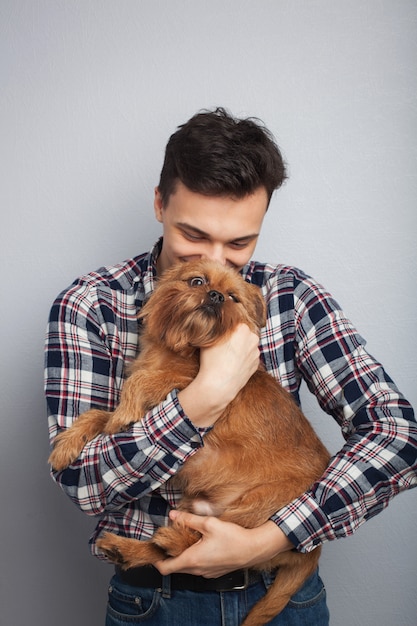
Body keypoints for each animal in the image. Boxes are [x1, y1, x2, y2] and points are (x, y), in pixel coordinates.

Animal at [48, 258, 328, 624]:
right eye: (197, 281)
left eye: (233, 297)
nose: (215, 295)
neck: (181, 347)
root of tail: (313, 552)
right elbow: (98, 415)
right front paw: (68, 444)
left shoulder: (182, 379)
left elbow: (140, 382)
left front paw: (124, 411)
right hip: (193, 507)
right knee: (165, 553)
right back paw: (125, 548)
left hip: (257, 506)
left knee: (204, 543)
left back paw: (168, 540)